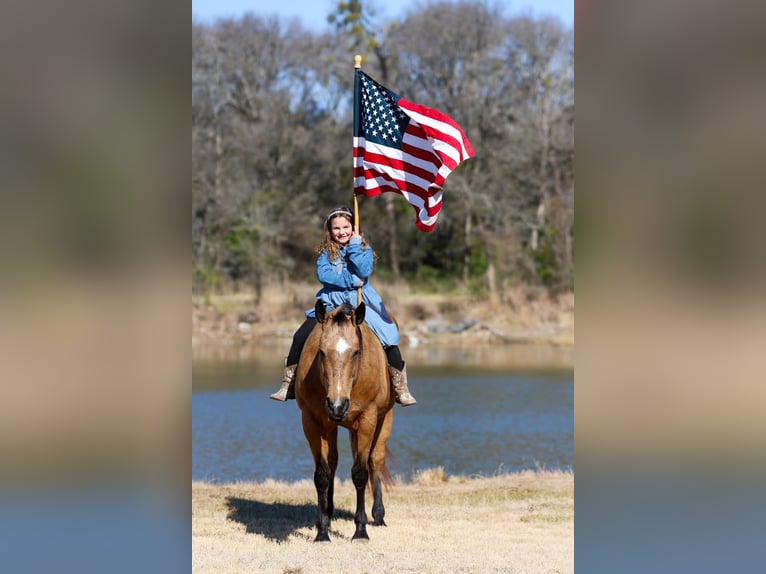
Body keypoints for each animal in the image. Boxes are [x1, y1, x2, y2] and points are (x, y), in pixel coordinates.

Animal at [294, 300, 395, 542]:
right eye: (321, 352)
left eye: (356, 352)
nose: (337, 406)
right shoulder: (311, 421)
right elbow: (321, 474)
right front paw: (322, 532)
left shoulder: (367, 420)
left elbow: (360, 473)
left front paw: (360, 531)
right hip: (331, 426)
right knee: (332, 462)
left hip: (385, 418)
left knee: (375, 461)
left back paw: (378, 516)